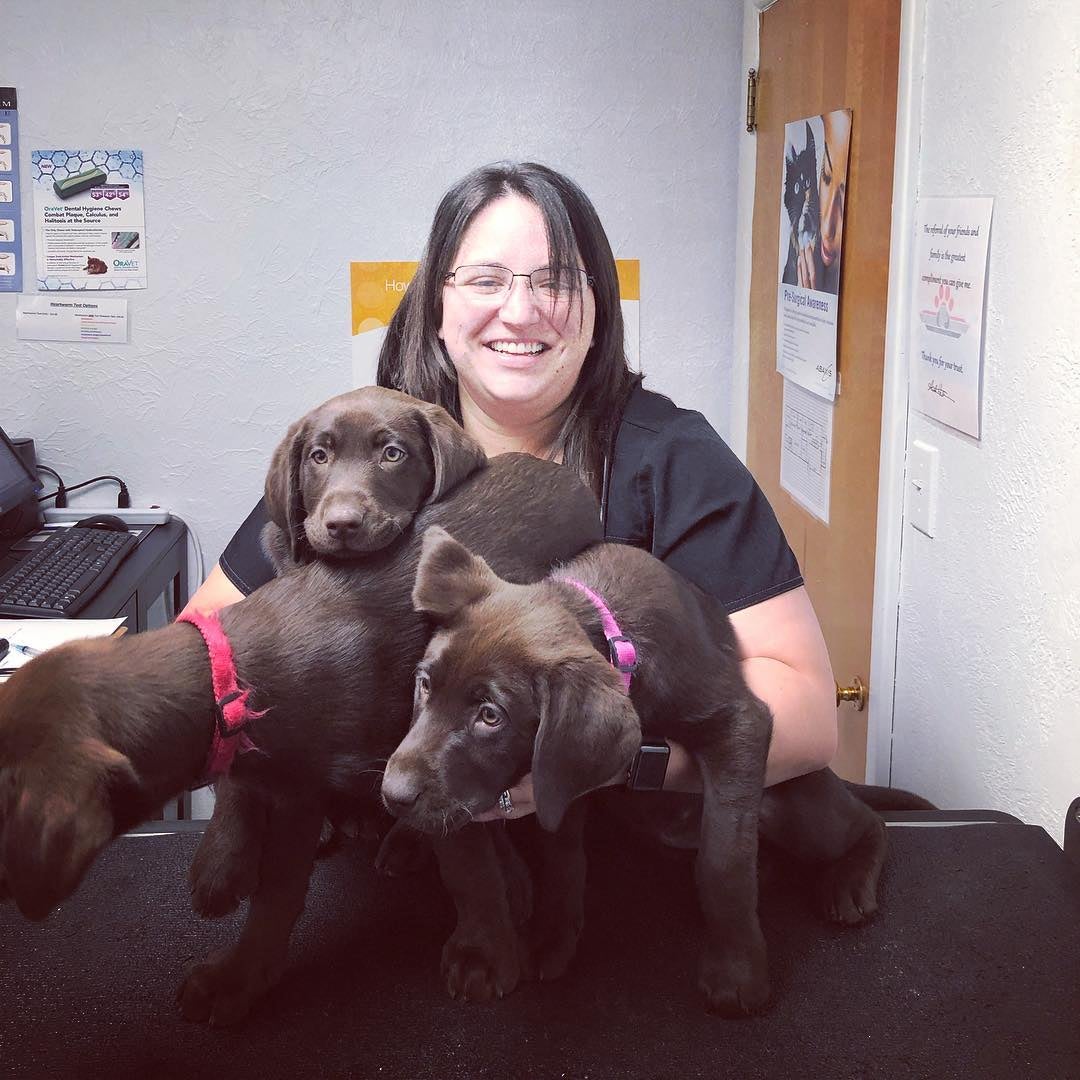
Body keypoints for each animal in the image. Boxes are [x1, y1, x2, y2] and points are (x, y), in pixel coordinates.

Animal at [0, 421, 603, 1025]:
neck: (231, 675)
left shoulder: (419, 766)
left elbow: (459, 864)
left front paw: (484, 953)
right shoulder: (290, 780)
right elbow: (269, 863)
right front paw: (232, 910)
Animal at [382, 528, 894, 1016]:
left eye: (491, 716)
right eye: (424, 684)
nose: (392, 794)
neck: (613, 634)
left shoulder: (738, 720)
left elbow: (723, 859)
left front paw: (737, 971)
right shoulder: (556, 779)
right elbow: (502, 863)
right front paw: (505, 947)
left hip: (791, 804)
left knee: (868, 822)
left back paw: (849, 881)